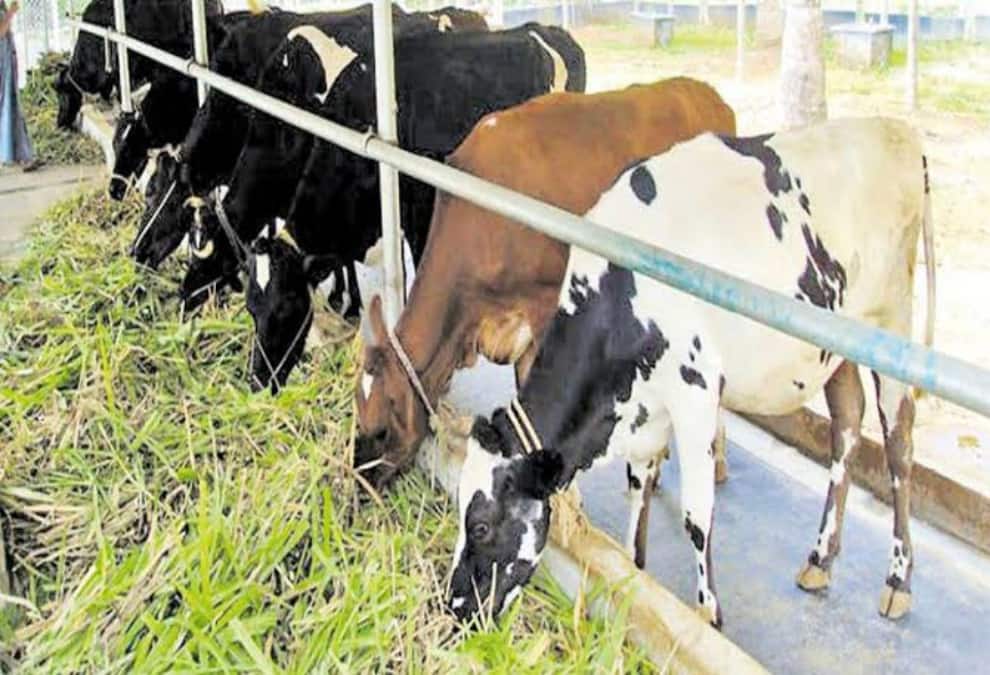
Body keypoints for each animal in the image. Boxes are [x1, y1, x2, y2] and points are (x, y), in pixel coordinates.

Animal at [445, 117, 937, 628]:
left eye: (480, 526)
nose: (455, 606)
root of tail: (895, 128)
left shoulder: (694, 393)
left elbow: (696, 516)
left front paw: (707, 612)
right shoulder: (648, 405)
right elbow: (638, 488)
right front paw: (633, 572)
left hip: (891, 322)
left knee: (899, 445)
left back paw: (897, 581)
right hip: (834, 346)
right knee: (847, 426)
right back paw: (820, 559)